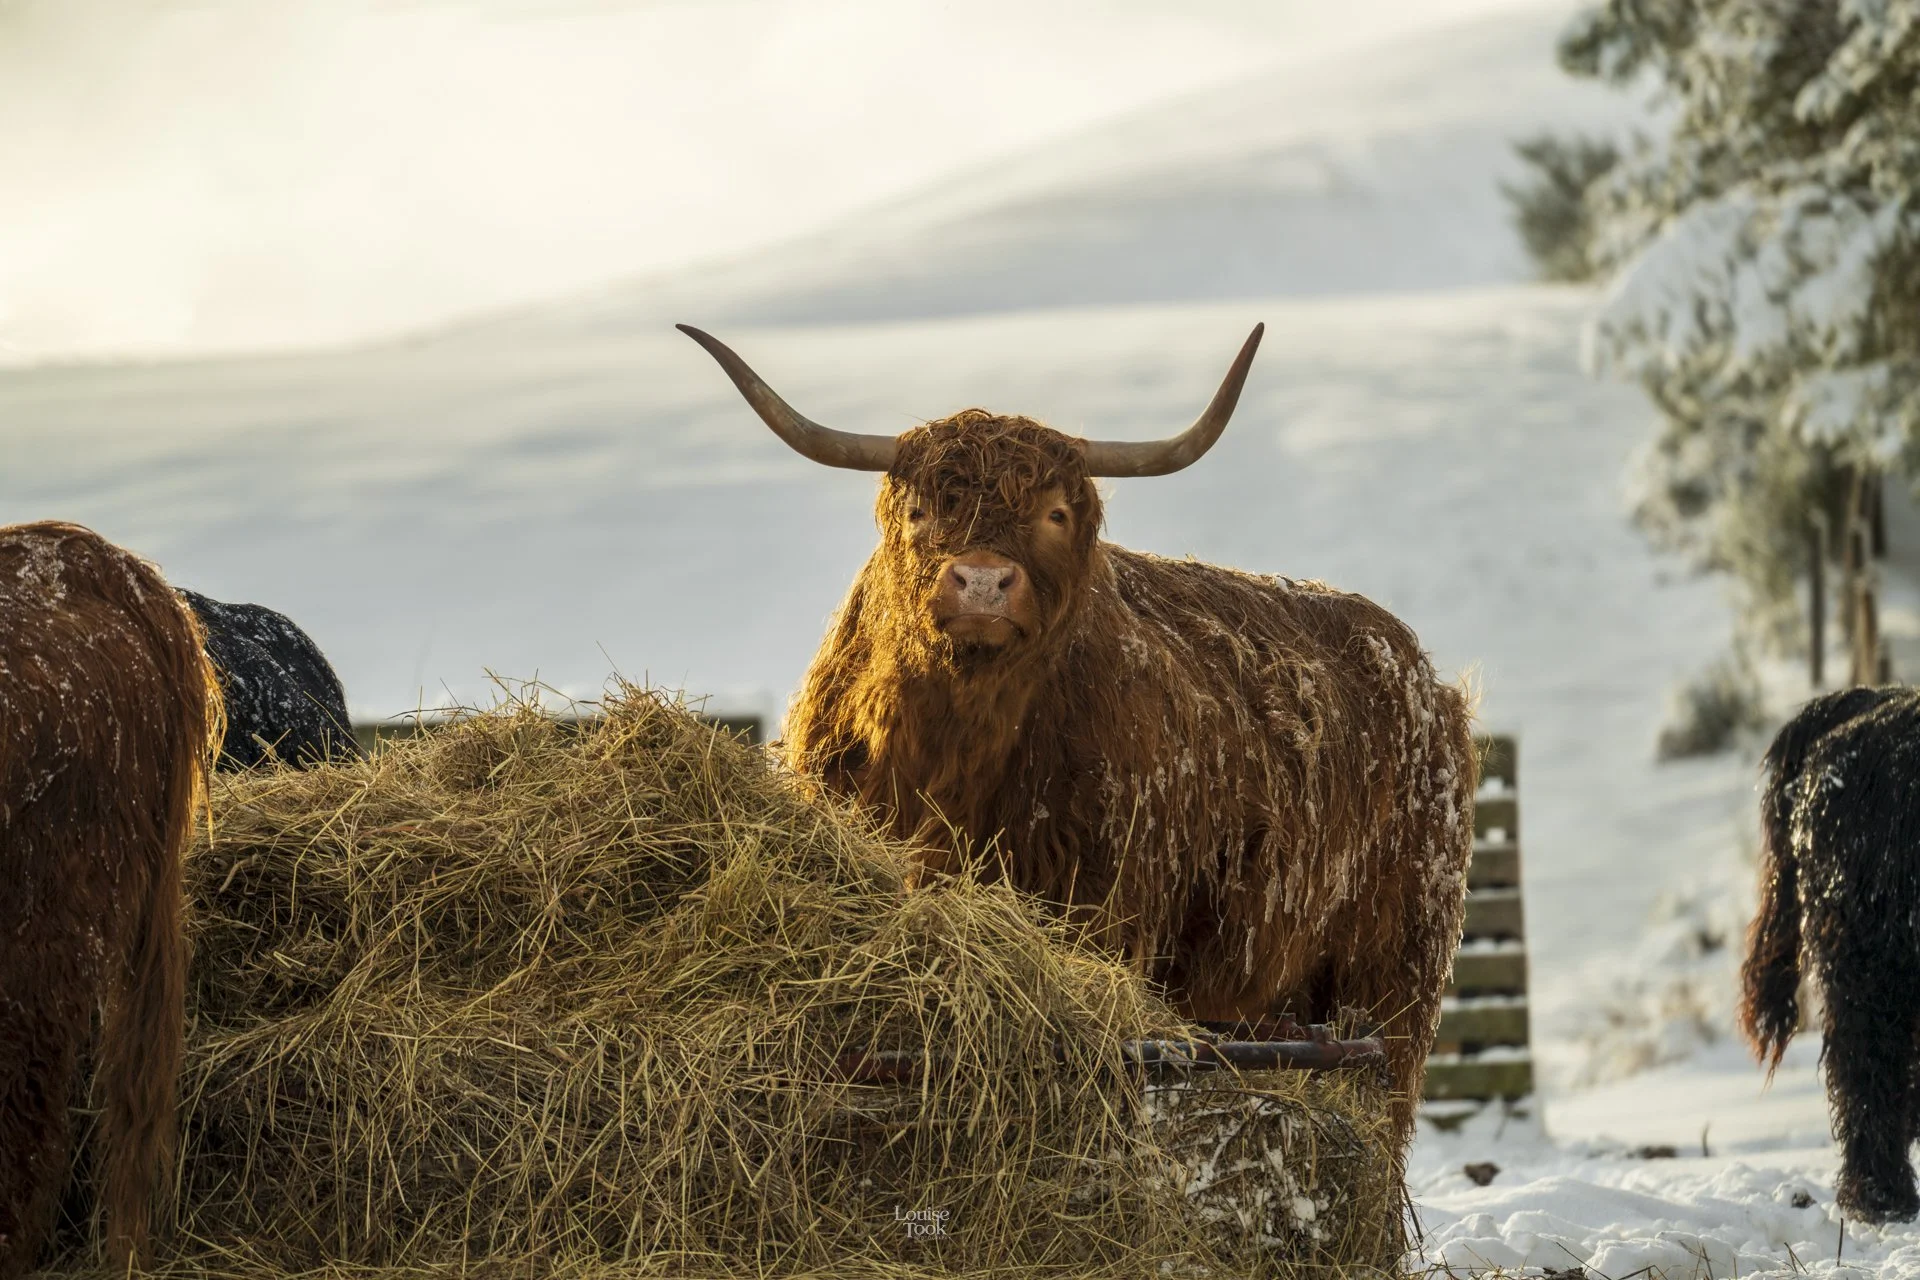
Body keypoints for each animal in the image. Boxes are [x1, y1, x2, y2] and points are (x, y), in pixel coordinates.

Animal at [681, 324, 1478, 1165]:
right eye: (923, 510)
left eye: (1056, 513)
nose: (982, 583)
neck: (953, 757)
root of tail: (1423, 674)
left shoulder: (1106, 909)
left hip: (1396, 973)